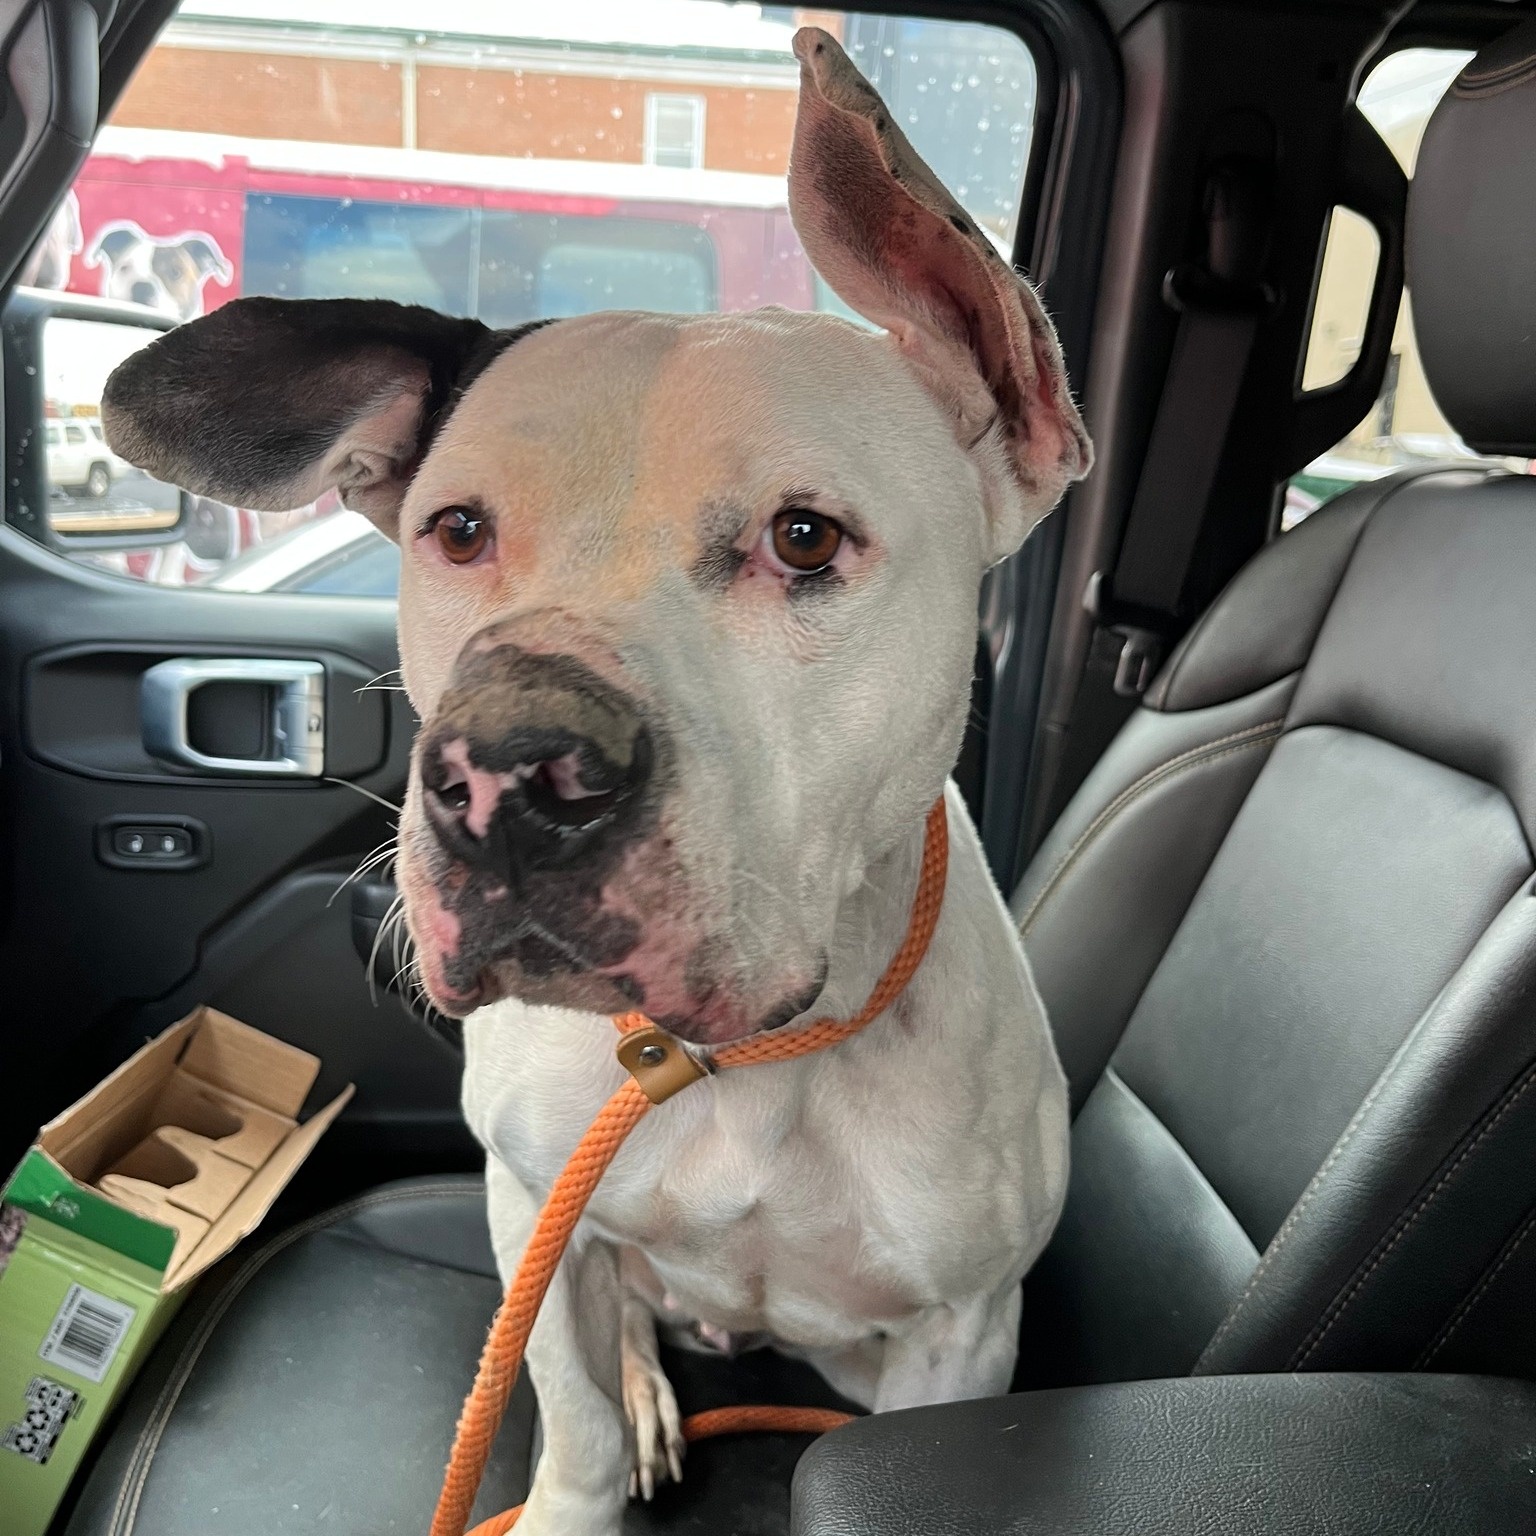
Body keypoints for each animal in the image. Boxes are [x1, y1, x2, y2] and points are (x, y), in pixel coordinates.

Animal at [102, 29, 1087, 1529]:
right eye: (457, 530)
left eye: (807, 538)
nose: (509, 771)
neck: (739, 1067)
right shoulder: (535, 1211)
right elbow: (566, 1404)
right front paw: (590, 1471)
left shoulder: (960, 1339)